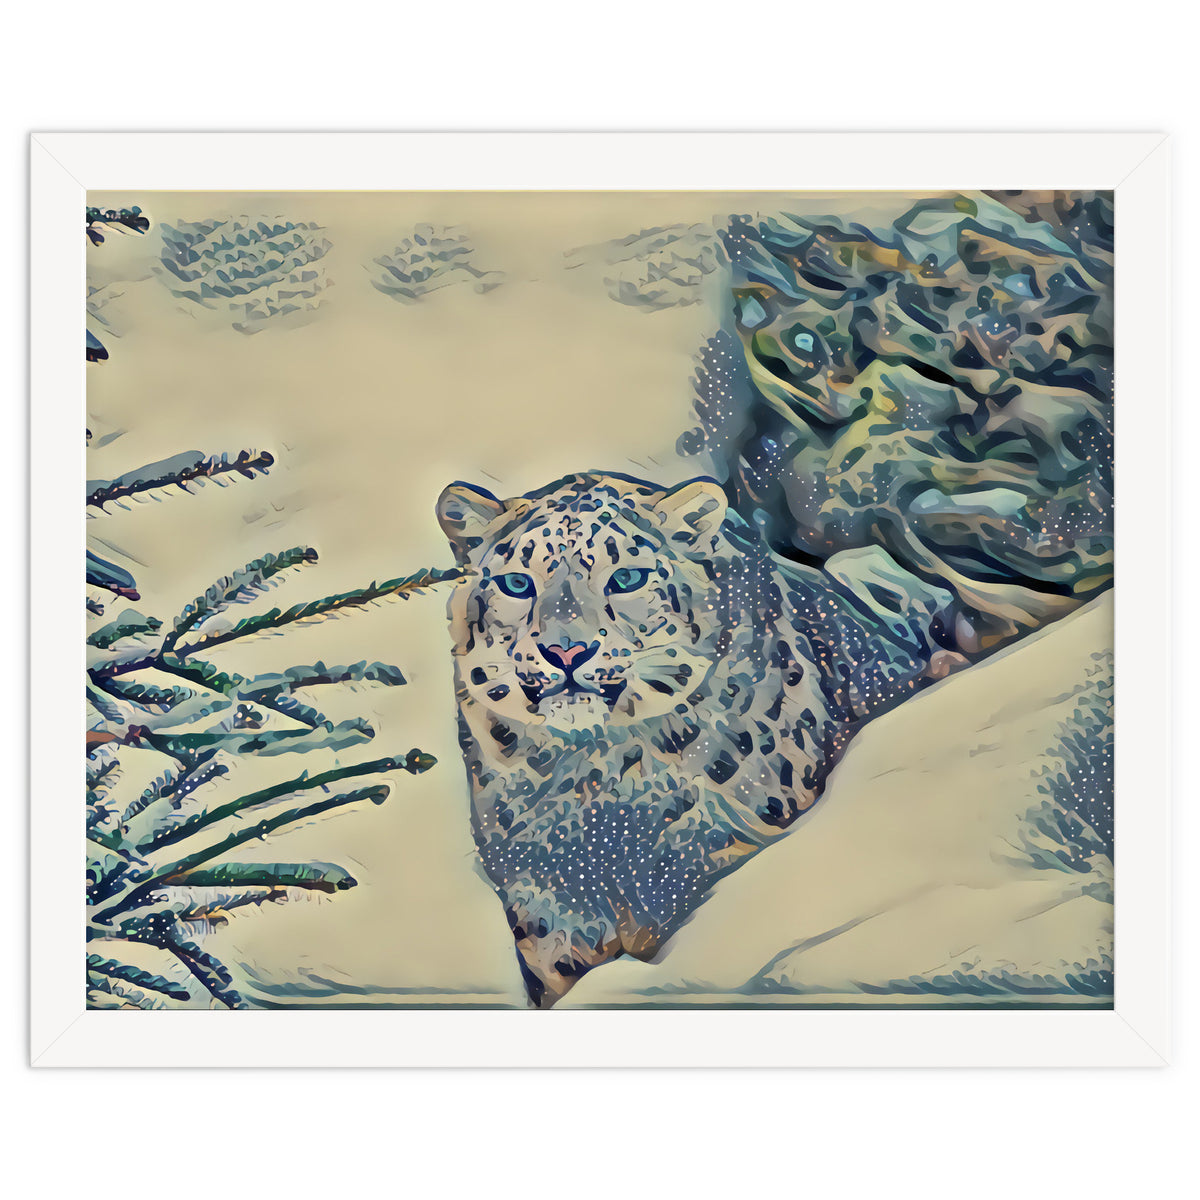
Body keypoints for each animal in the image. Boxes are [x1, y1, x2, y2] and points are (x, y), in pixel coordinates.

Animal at [436, 471, 967, 1007]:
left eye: (627, 579)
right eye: (517, 583)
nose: (566, 651)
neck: (597, 792)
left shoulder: (709, 854)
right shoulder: (545, 898)